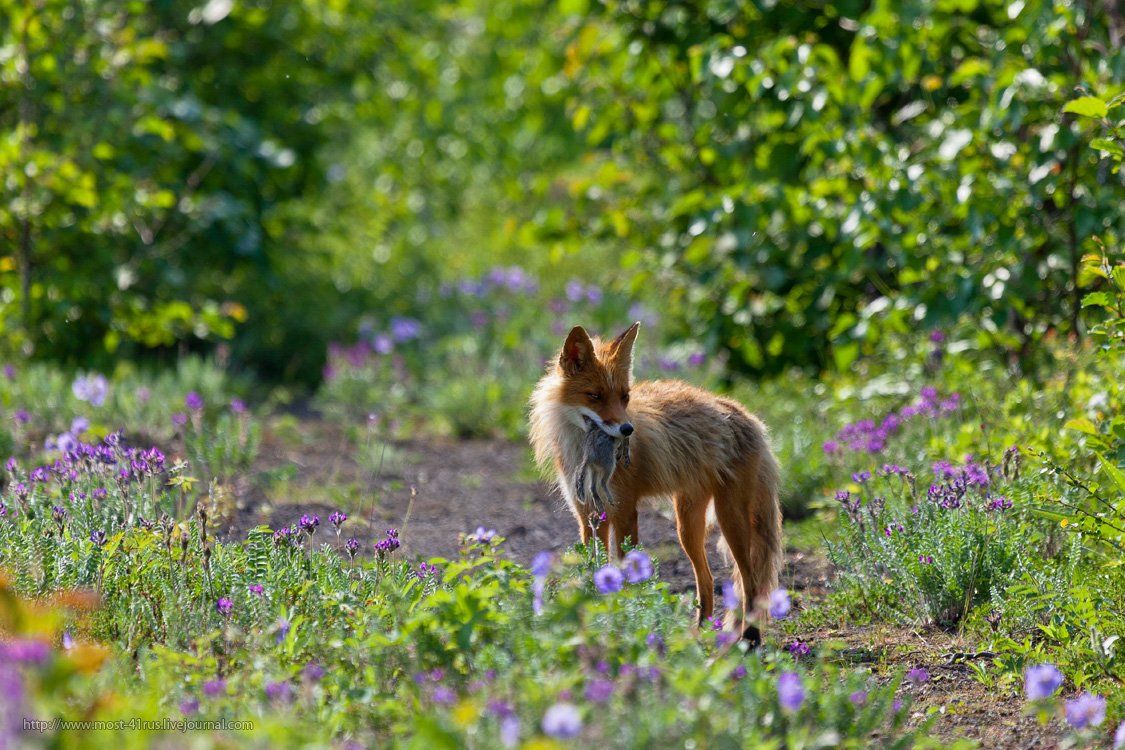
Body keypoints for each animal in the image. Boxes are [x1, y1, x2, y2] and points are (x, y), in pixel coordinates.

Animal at [528, 323, 783, 638]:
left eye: (624, 397)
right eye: (595, 396)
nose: (627, 430)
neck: (584, 450)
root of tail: (747, 415)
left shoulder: (624, 510)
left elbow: (624, 572)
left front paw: (624, 618)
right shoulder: (588, 514)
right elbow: (593, 568)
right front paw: (594, 617)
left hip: (730, 518)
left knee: (750, 582)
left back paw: (750, 638)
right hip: (687, 525)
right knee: (708, 579)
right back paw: (700, 634)